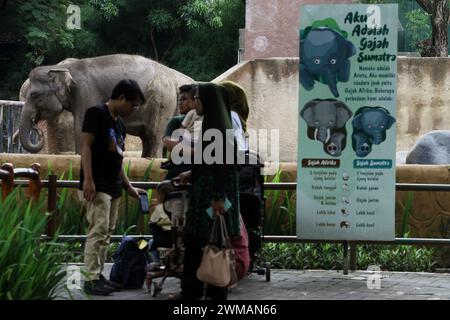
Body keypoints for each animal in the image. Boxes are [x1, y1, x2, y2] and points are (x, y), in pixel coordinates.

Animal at [18, 54, 193, 158]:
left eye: (34, 95)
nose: (37, 127)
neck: (60, 67)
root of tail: (173, 80)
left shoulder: (86, 92)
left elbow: (82, 126)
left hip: (161, 103)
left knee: (155, 135)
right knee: (146, 138)